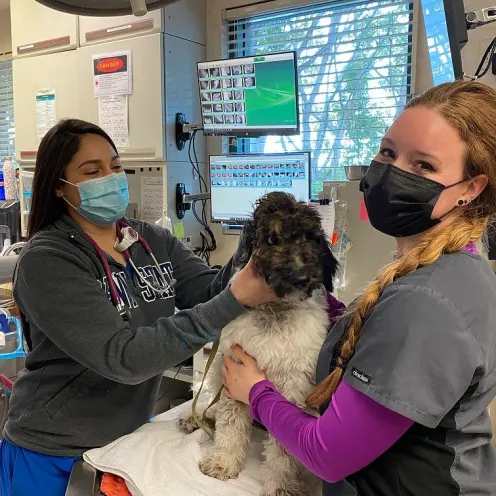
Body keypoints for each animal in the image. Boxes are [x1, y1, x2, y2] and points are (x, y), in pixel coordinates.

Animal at [178, 192, 338, 494]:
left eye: (312, 238)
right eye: (272, 239)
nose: (300, 277)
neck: (274, 311)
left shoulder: (294, 387)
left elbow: (284, 450)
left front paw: (281, 485)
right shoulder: (231, 369)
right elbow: (230, 425)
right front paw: (224, 464)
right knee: (212, 407)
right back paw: (196, 417)